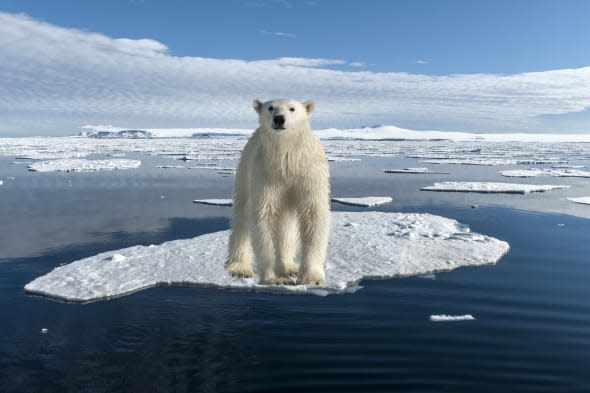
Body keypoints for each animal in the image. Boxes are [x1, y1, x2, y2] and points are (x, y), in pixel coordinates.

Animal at [227, 96, 330, 284]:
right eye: (270, 108)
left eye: (292, 108)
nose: (279, 119)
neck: (287, 157)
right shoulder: (266, 174)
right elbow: (265, 215)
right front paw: (277, 277)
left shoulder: (308, 173)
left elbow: (313, 215)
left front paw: (311, 277)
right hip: (245, 171)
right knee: (242, 217)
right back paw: (239, 268)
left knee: (287, 225)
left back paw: (290, 266)